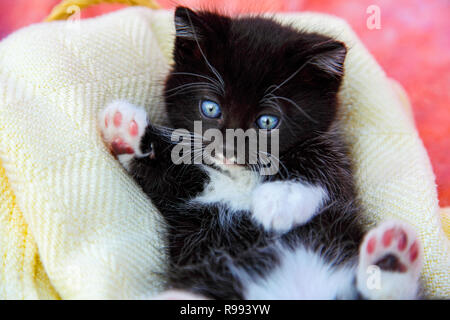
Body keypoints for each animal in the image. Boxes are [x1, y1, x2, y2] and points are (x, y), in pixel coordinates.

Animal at [97, 6, 422, 298]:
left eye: (267, 121)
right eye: (210, 108)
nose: (227, 151)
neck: (241, 175)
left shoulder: (339, 157)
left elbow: (325, 164)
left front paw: (281, 198)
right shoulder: (183, 196)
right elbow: (164, 174)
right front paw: (126, 130)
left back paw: (392, 259)